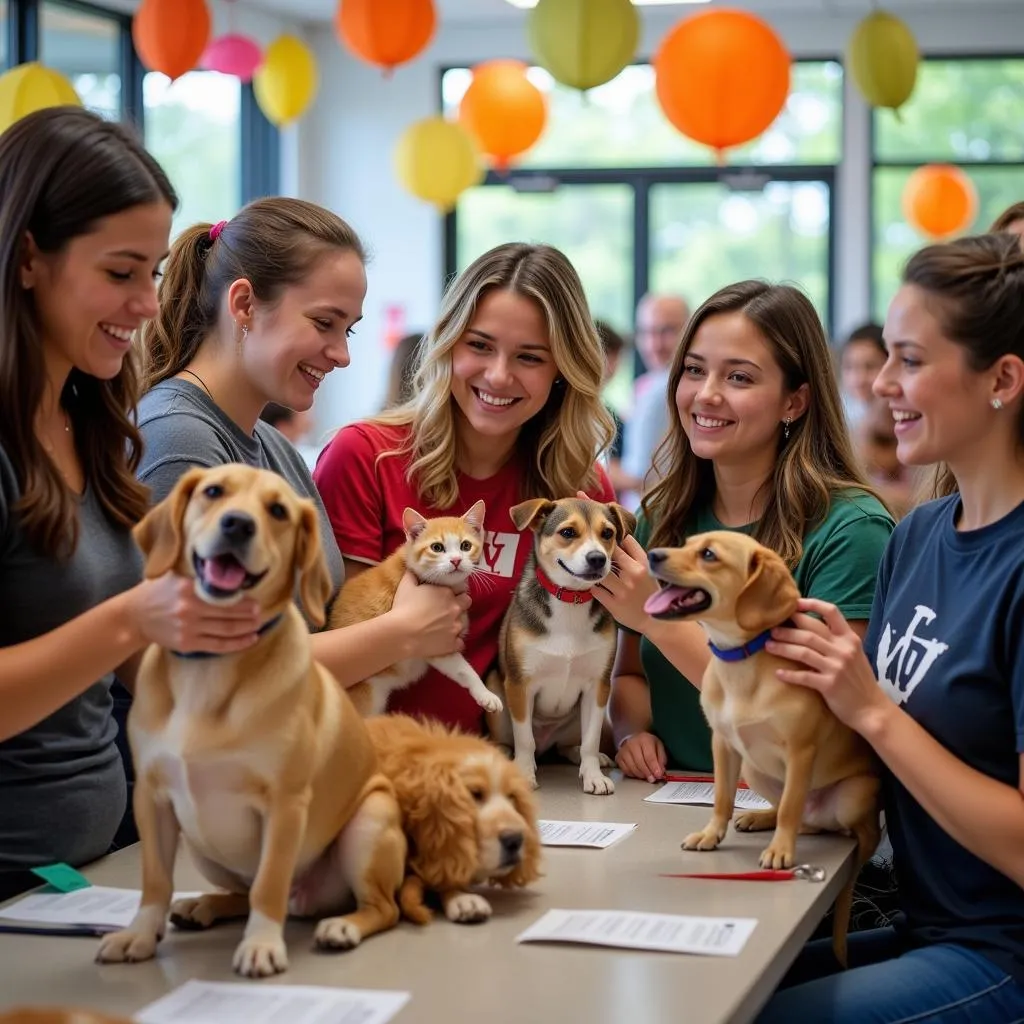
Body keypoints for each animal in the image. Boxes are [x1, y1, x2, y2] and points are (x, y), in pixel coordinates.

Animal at [96, 464, 405, 974]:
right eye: (213, 491)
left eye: (278, 510)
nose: (237, 524)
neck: (211, 668)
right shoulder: (152, 799)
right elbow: (155, 880)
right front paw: (139, 934)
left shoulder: (284, 805)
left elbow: (268, 883)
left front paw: (261, 944)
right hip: (200, 843)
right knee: (239, 891)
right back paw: (205, 905)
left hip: (368, 823)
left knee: (382, 907)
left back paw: (342, 927)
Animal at [329, 499, 501, 716]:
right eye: (437, 547)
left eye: (466, 545)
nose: (456, 560)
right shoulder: (435, 643)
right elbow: (463, 669)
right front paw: (485, 694)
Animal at [485, 499, 634, 794]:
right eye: (568, 532)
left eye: (608, 533)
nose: (598, 558)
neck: (571, 600)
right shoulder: (520, 684)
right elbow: (525, 740)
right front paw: (524, 774)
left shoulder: (598, 686)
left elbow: (591, 740)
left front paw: (593, 775)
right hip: (495, 687)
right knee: (516, 743)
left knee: (568, 746)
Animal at [647, 532, 880, 962]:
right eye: (686, 543)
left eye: (709, 554)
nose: (652, 554)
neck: (740, 663)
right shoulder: (724, 746)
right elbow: (722, 799)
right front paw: (712, 834)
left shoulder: (801, 751)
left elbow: (790, 807)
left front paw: (781, 850)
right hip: (754, 770)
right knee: (803, 817)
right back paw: (759, 818)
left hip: (855, 795)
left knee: (825, 822)